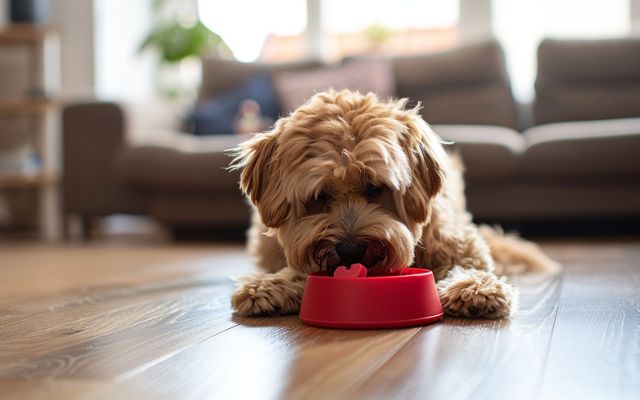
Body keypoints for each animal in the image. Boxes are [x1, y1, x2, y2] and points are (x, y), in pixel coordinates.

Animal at [229, 89, 556, 318]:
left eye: (376, 188)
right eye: (320, 196)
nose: (350, 250)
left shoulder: (458, 244)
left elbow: (470, 264)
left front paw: (474, 288)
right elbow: (297, 268)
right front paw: (270, 286)